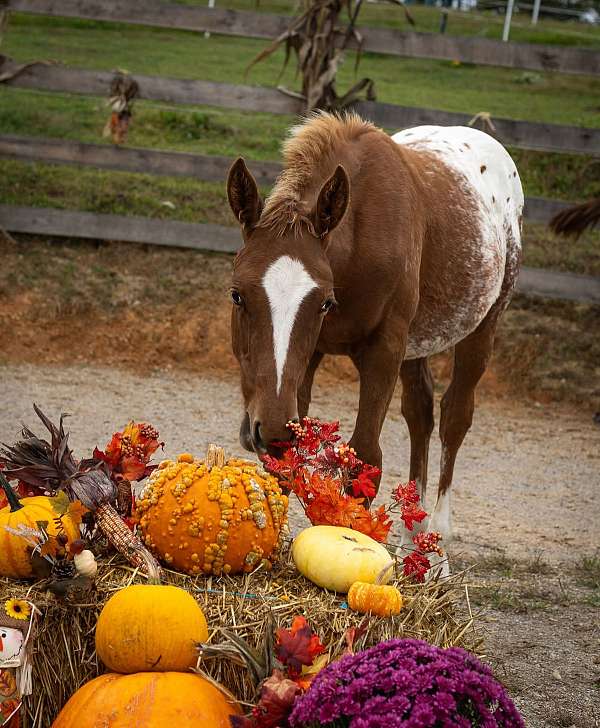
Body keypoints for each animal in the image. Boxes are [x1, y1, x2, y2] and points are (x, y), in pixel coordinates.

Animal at [226, 111, 523, 547]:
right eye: (237, 295)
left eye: (324, 302)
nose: (274, 427)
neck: (355, 246)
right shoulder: (308, 360)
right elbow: (285, 463)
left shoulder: (385, 348)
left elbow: (366, 457)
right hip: (416, 346)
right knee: (420, 413)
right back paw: (415, 532)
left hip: (482, 327)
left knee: (455, 417)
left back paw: (437, 540)